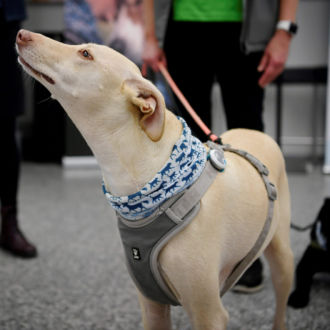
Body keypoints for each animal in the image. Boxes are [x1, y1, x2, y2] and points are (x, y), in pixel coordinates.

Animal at [15, 29, 294, 328]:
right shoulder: (152, 303)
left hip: (282, 258)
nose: (22, 34)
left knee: (281, 303)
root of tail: (257, 133)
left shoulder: (209, 313)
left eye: (86, 54)